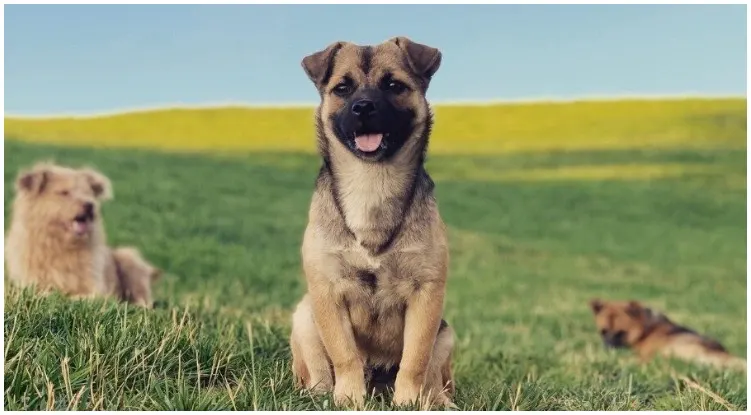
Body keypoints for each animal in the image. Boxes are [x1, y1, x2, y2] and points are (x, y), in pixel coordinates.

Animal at [5, 162, 162, 308]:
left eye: (88, 193)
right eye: (64, 192)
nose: (90, 205)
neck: (62, 247)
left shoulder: (95, 286)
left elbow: (84, 296)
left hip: (129, 258)